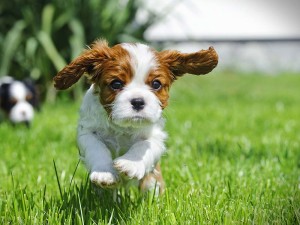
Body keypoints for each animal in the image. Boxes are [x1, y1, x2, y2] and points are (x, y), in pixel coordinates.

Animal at [53, 40, 218, 193]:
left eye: (156, 84)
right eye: (116, 84)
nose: (138, 101)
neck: (124, 127)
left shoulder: (157, 136)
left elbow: (144, 144)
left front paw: (130, 163)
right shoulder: (87, 131)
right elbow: (97, 147)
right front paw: (104, 173)